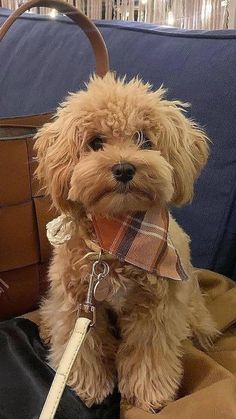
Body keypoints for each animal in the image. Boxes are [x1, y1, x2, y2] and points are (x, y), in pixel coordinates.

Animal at [34, 73, 218, 414]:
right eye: (95, 142)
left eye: (144, 139)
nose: (123, 168)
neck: (118, 239)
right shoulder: (78, 303)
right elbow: (84, 348)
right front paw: (88, 387)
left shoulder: (156, 310)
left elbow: (150, 354)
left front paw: (150, 395)